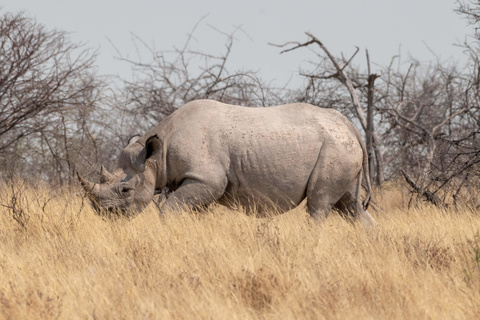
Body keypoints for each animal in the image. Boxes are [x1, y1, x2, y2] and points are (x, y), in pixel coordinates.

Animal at [79, 99, 376, 226]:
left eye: (125, 190)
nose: (105, 216)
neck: (155, 156)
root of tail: (349, 126)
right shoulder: (197, 182)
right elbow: (193, 212)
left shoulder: (206, 178)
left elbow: (169, 210)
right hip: (341, 148)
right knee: (350, 206)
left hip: (335, 147)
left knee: (319, 205)